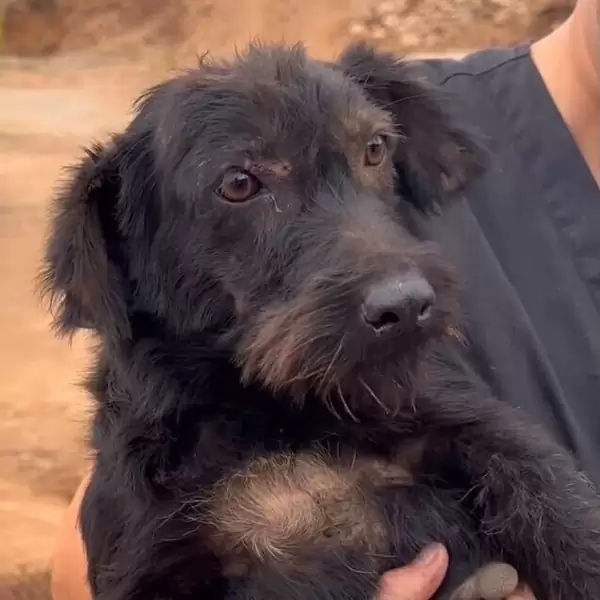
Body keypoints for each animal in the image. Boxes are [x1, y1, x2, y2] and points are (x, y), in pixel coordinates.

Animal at [43, 43, 600, 600]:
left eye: (375, 148)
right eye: (238, 183)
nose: (407, 305)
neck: (279, 414)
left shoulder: (470, 426)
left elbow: (554, 503)